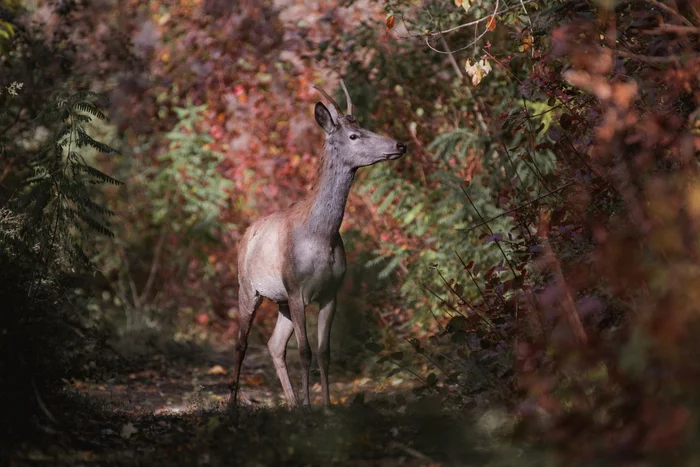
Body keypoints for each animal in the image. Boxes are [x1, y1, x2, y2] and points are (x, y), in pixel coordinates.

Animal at [230, 80, 404, 410]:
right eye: (354, 135)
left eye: (363, 126)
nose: (400, 145)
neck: (321, 236)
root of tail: (246, 233)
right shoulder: (297, 288)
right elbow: (305, 351)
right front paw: (311, 406)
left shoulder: (330, 291)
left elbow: (324, 352)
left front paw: (325, 406)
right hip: (249, 287)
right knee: (241, 343)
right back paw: (234, 405)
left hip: (281, 301)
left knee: (274, 345)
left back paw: (292, 403)